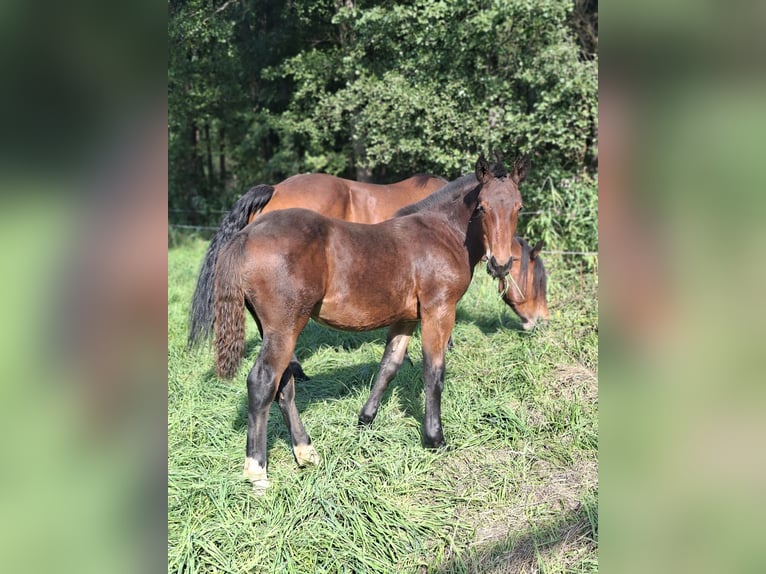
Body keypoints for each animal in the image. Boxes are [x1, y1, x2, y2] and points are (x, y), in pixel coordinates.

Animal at [209, 155, 526, 491]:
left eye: (518, 207)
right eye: (482, 207)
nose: (501, 264)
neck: (441, 232)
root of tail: (247, 234)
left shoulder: (406, 320)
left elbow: (389, 366)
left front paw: (365, 420)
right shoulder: (438, 311)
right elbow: (434, 373)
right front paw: (435, 439)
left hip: (273, 330)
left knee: (284, 385)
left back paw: (306, 452)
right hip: (284, 328)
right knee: (262, 381)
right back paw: (257, 471)